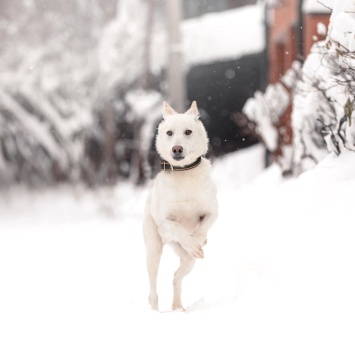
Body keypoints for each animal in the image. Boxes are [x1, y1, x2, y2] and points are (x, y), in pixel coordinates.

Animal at [143, 101, 218, 312]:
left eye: (188, 132)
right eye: (169, 133)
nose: (177, 149)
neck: (184, 172)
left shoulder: (212, 212)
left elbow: (202, 228)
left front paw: (197, 242)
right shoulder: (164, 223)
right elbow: (177, 227)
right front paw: (191, 241)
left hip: (185, 261)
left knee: (177, 276)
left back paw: (177, 306)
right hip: (153, 250)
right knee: (153, 291)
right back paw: (155, 311)